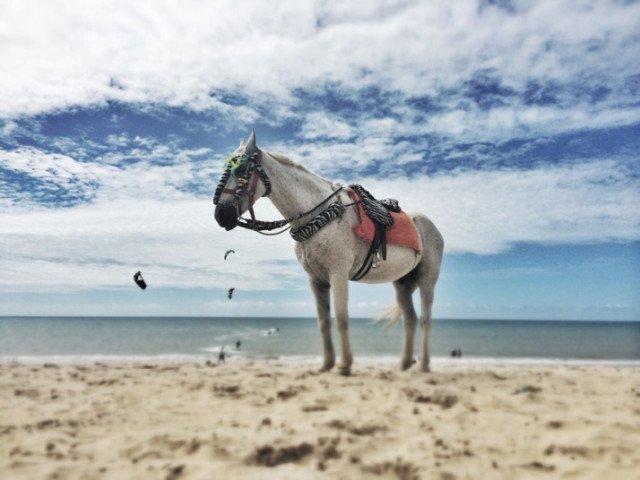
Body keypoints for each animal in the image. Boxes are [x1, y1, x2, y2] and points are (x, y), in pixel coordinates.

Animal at [212, 131, 442, 376]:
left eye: (241, 171)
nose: (221, 215)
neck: (322, 214)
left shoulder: (338, 274)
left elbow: (341, 319)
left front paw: (345, 365)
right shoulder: (317, 280)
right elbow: (323, 322)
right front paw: (326, 364)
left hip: (427, 280)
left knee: (425, 319)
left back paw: (424, 365)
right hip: (402, 283)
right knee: (410, 320)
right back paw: (405, 364)